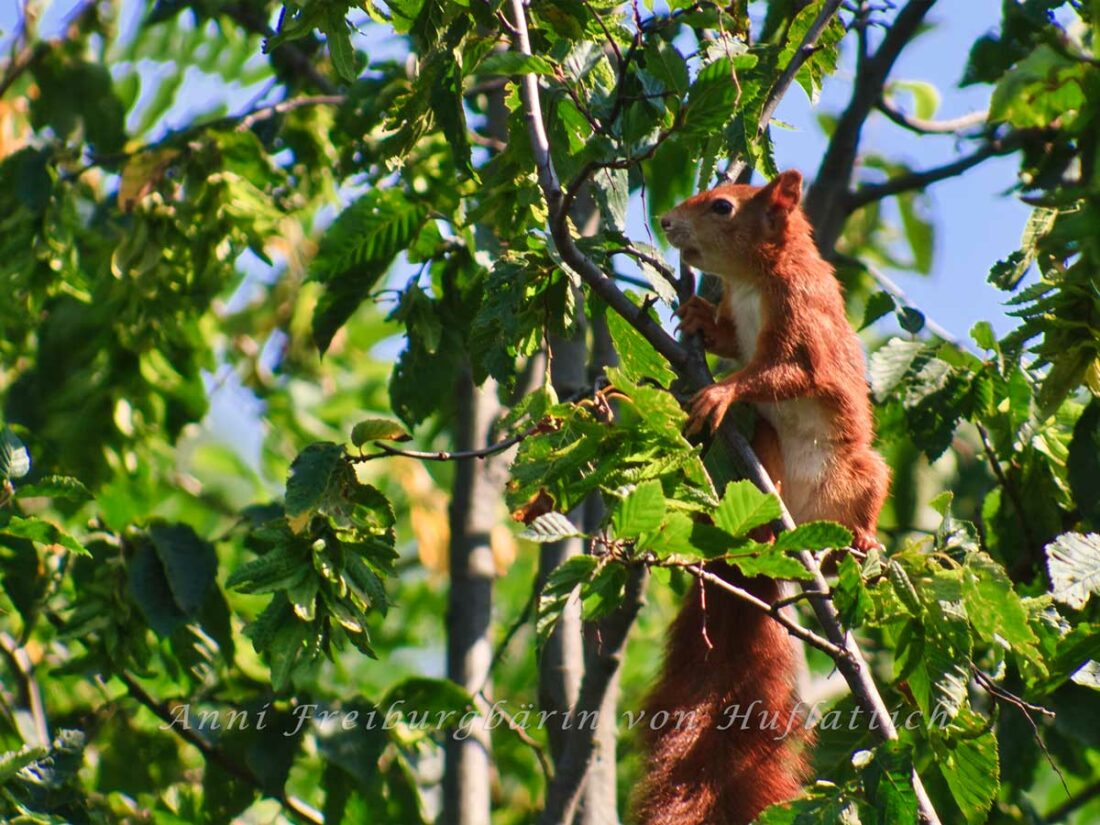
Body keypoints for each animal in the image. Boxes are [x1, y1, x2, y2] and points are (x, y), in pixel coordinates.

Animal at [633, 171, 888, 822]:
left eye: (723, 206)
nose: (667, 222)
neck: (753, 280)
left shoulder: (804, 320)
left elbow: (785, 374)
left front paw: (722, 392)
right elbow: (729, 342)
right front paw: (695, 315)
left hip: (862, 473)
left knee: (862, 504)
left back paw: (858, 542)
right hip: (769, 455)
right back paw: (765, 526)